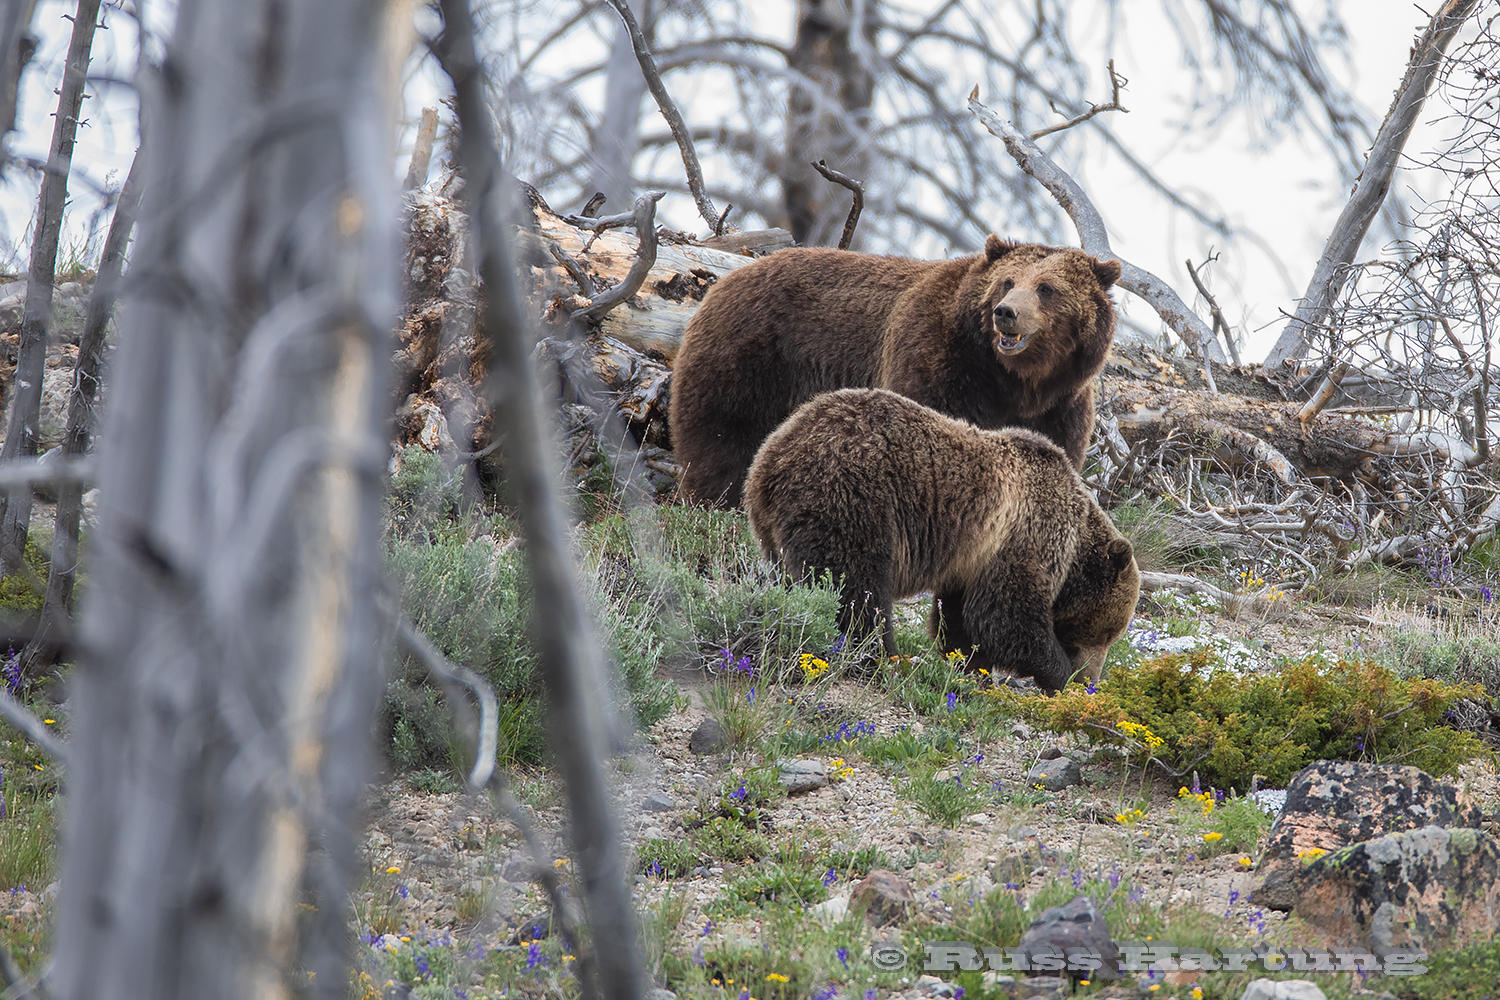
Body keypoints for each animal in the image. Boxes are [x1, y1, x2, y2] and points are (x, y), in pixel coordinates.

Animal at [675, 232, 1122, 500]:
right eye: (1008, 282)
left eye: (1046, 288)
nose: (1005, 313)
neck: (1013, 380)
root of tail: (724, 277)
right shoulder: (937, 363)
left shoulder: (1060, 406)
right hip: (752, 358)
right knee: (724, 437)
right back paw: (715, 500)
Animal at [744, 389, 1140, 689]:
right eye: (1108, 631)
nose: (1091, 678)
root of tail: (771, 456)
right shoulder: (1029, 532)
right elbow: (1007, 615)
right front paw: (1059, 674)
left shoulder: (974, 562)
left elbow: (963, 618)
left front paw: (970, 665)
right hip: (854, 495)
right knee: (856, 586)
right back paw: (882, 657)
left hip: (779, 528)